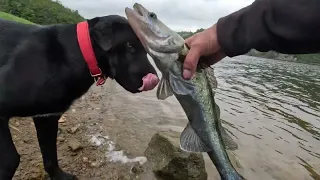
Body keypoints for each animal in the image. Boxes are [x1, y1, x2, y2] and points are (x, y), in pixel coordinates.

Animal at [0, 14, 159, 179]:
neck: (79, 54)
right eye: (129, 45)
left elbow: (50, 156)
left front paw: (59, 176)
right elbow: (11, 159)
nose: (155, 81)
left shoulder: (47, 117)